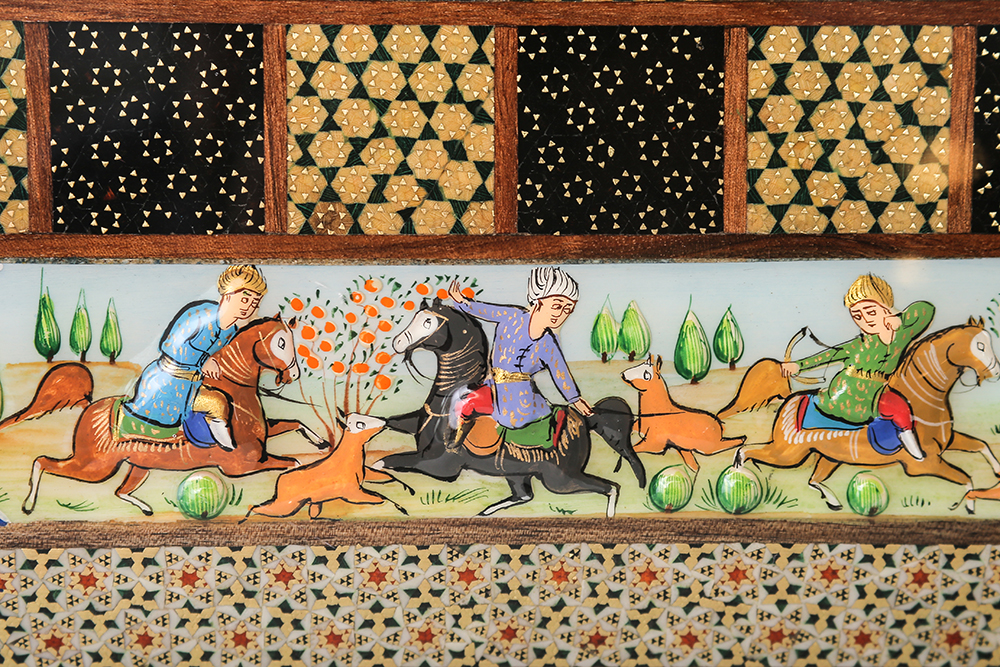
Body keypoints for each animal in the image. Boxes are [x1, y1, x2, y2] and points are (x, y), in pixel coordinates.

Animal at [14, 315, 330, 516]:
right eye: (280, 343)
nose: (293, 375)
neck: (236, 394)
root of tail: (90, 407)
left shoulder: (264, 439)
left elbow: (295, 423)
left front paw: (322, 443)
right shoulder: (245, 465)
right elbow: (293, 463)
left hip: (137, 467)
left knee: (120, 491)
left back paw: (146, 508)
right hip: (93, 468)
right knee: (42, 462)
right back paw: (28, 506)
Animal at [371, 299, 645, 518]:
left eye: (428, 322)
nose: (397, 342)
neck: (450, 400)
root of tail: (584, 419)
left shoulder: (439, 465)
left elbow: (386, 461)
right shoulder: (416, 424)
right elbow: (387, 421)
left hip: (560, 480)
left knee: (610, 487)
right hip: (517, 472)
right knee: (524, 496)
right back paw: (483, 513)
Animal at [722, 319, 1000, 512]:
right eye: (980, 345)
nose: (995, 373)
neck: (920, 399)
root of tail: (791, 400)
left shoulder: (949, 441)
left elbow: (981, 446)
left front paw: (990, 480)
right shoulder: (925, 465)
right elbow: (966, 478)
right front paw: (965, 505)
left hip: (828, 457)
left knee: (814, 479)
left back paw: (833, 502)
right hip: (788, 454)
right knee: (746, 451)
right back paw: (739, 479)